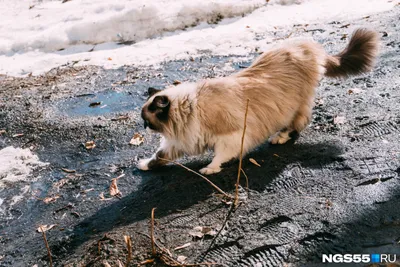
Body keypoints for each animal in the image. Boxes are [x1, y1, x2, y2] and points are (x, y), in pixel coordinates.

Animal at [138, 28, 378, 176]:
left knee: (298, 123)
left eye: (147, 122)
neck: (188, 109)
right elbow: (159, 156)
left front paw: (210, 169)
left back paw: (279, 137)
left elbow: (220, 155)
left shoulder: (231, 136)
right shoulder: (179, 141)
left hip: (292, 107)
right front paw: (145, 165)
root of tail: (306, 46)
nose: (144, 128)